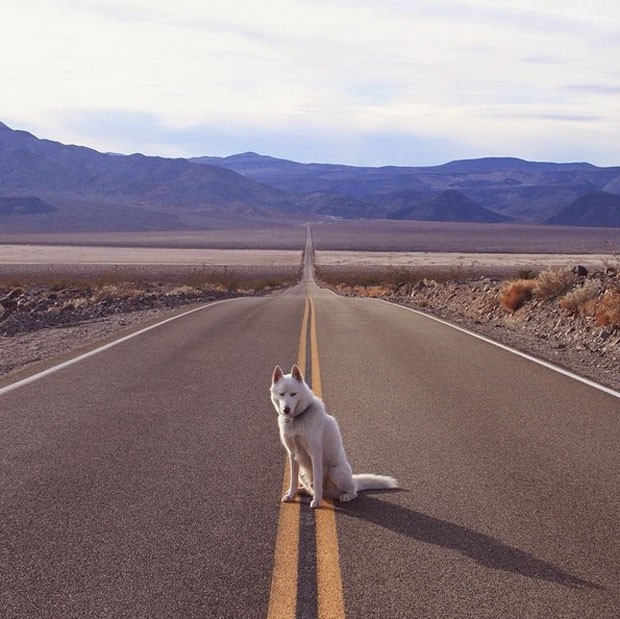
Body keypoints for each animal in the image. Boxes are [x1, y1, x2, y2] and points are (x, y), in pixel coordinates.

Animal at [270, 364, 398, 508]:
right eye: (281, 394)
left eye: (293, 394)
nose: (286, 409)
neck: (296, 419)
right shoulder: (292, 454)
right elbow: (292, 479)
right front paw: (291, 495)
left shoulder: (315, 453)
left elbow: (318, 480)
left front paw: (316, 501)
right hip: (303, 475)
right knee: (310, 488)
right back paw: (301, 490)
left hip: (336, 472)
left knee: (353, 492)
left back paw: (344, 496)